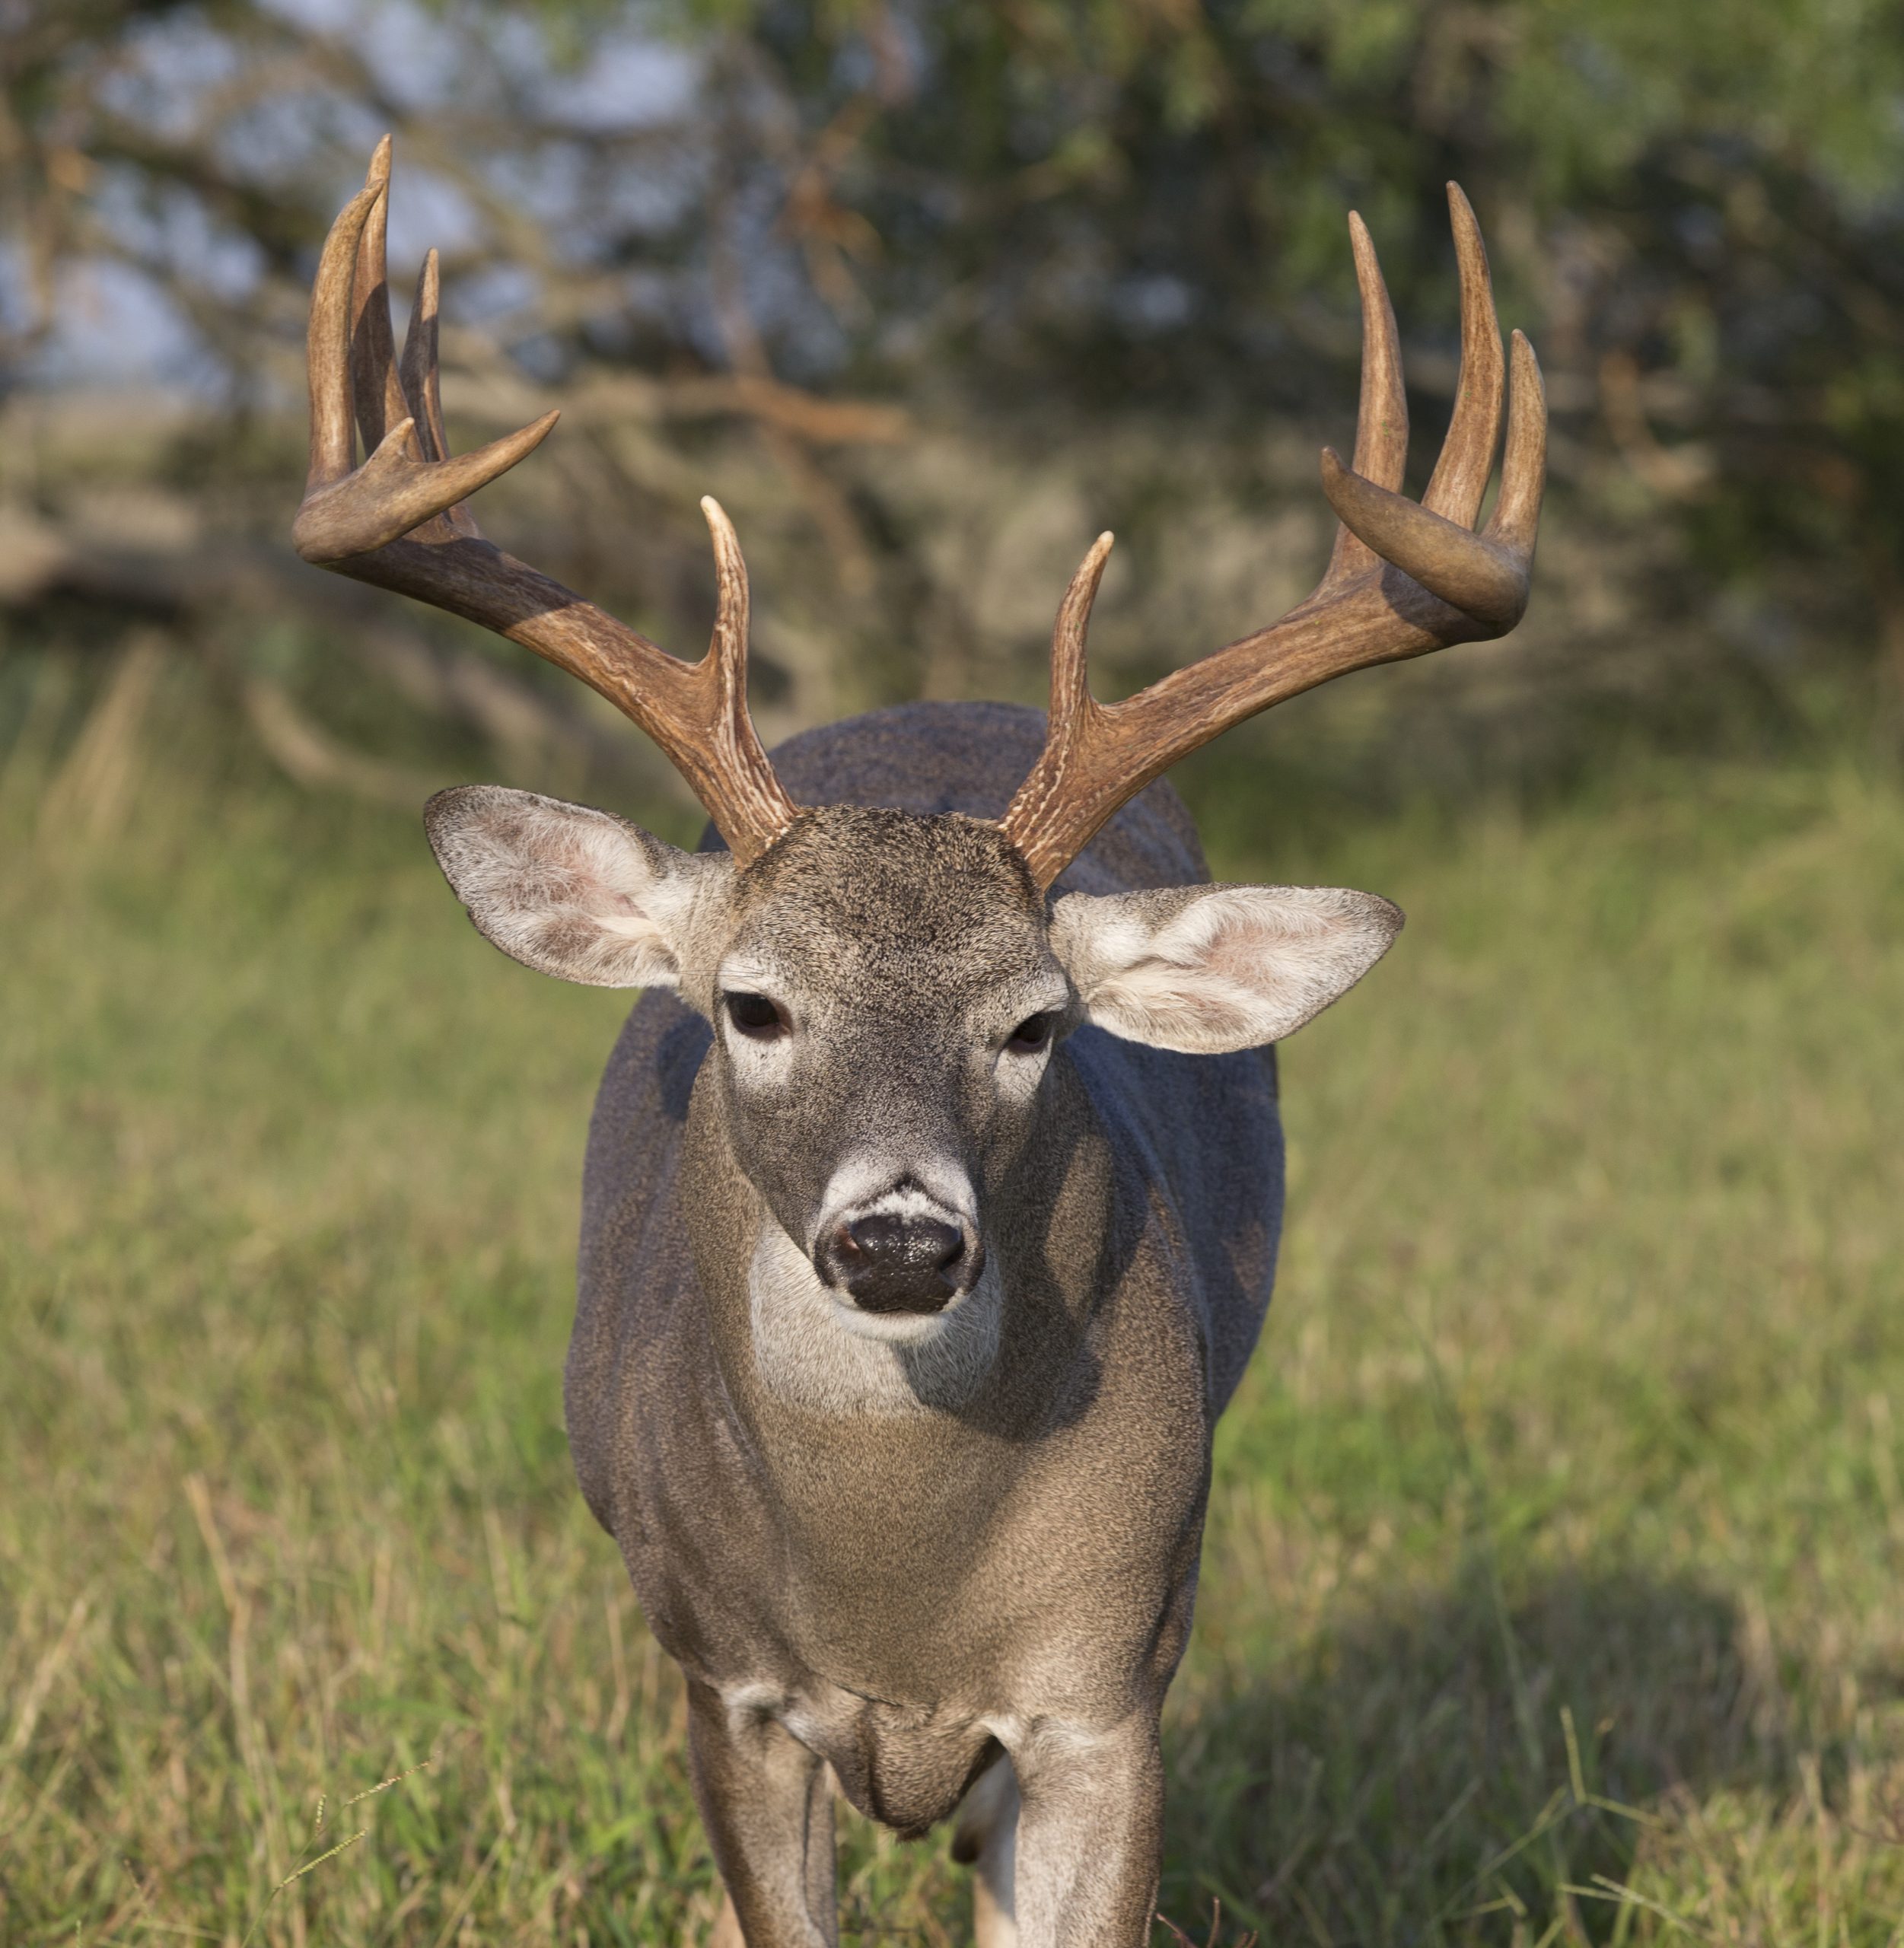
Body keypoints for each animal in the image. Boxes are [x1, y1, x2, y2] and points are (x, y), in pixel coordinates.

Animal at [294, 138, 1544, 1948]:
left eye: (1034, 1024)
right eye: (752, 1003)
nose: (899, 1239)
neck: (897, 1584)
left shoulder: (1109, 1684)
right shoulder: (724, 1681)